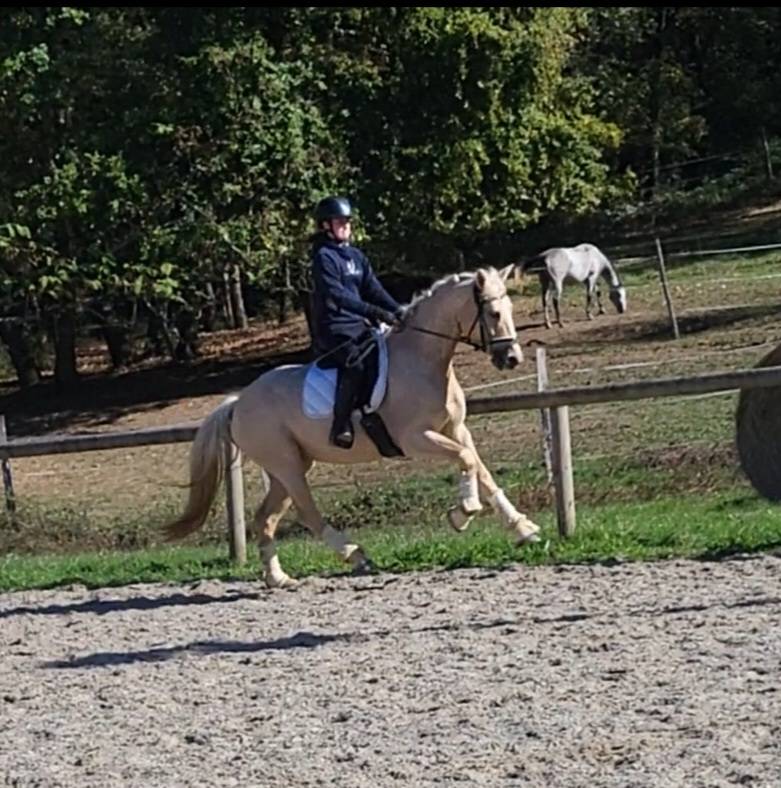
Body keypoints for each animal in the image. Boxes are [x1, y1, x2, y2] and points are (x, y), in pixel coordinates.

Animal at [164, 266, 541, 588]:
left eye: (510, 308)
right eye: (494, 314)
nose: (512, 359)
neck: (423, 360)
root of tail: (238, 402)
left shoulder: (456, 429)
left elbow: (480, 469)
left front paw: (522, 528)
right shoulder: (416, 438)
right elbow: (466, 460)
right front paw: (464, 513)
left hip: (287, 468)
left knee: (264, 520)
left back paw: (278, 578)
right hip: (286, 465)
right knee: (308, 513)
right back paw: (355, 554)